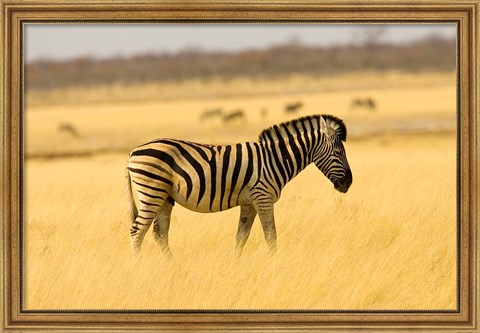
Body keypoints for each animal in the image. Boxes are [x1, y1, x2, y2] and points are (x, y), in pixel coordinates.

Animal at [126, 113, 352, 255]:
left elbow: (241, 237)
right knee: (137, 231)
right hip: (152, 192)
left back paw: (172, 268)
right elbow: (271, 235)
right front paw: (276, 264)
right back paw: (137, 267)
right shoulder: (263, 198)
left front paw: (236, 266)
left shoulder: (249, 202)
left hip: (164, 197)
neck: (275, 159)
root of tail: (133, 151)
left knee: (160, 234)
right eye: (338, 152)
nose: (348, 183)